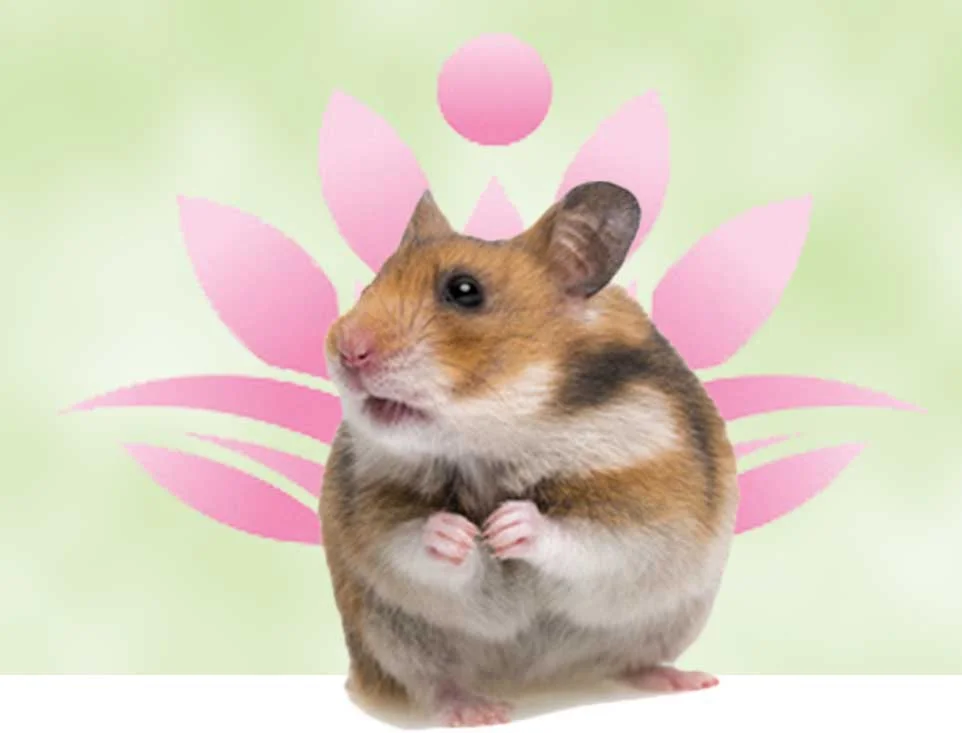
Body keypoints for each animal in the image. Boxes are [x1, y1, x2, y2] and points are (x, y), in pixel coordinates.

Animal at [319, 181, 739, 727]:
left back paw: (689, 680)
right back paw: (479, 711)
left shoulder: (653, 509)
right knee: (437, 684)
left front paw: (506, 526)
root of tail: (542, 681)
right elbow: (410, 544)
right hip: (391, 639)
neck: (494, 441)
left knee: (629, 662)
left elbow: (589, 541)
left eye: (464, 291)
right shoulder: (373, 514)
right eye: (371, 284)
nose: (347, 350)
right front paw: (458, 534)